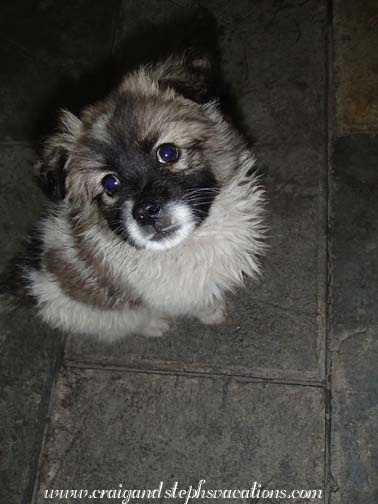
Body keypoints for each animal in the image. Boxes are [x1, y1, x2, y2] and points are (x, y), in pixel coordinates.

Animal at [5, 53, 266, 340]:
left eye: (168, 153)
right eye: (110, 183)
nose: (145, 212)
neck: (189, 242)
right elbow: (199, 303)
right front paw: (214, 313)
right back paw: (155, 325)